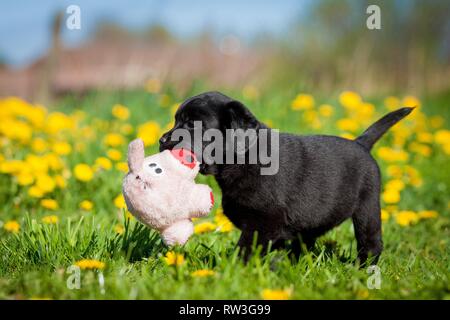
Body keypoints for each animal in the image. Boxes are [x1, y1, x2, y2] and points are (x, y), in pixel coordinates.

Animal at [160, 91, 414, 264]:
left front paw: (236, 270)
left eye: (192, 124)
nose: (162, 140)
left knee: (370, 243)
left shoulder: (264, 222)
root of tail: (361, 143)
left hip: (367, 207)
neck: (244, 157)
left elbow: (246, 249)